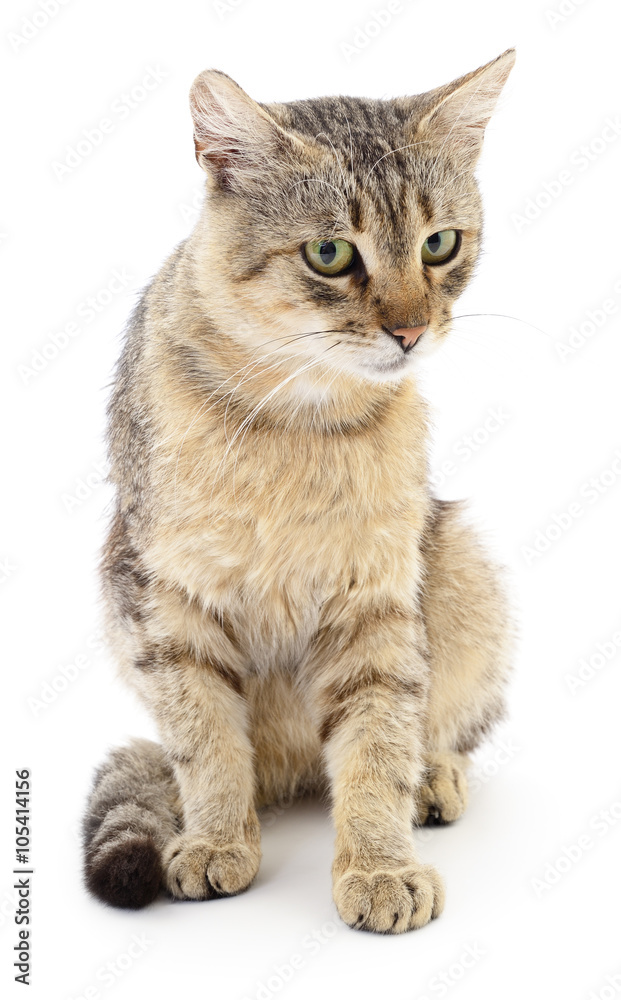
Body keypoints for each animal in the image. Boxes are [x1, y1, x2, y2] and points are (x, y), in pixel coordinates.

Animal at [83, 50, 520, 932]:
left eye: (439, 245)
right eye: (328, 254)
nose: (409, 330)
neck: (297, 419)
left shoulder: (377, 599)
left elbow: (378, 742)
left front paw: (380, 864)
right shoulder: (161, 601)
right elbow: (206, 743)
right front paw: (216, 838)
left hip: (457, 565)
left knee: (430, 729)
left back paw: (431, 779)